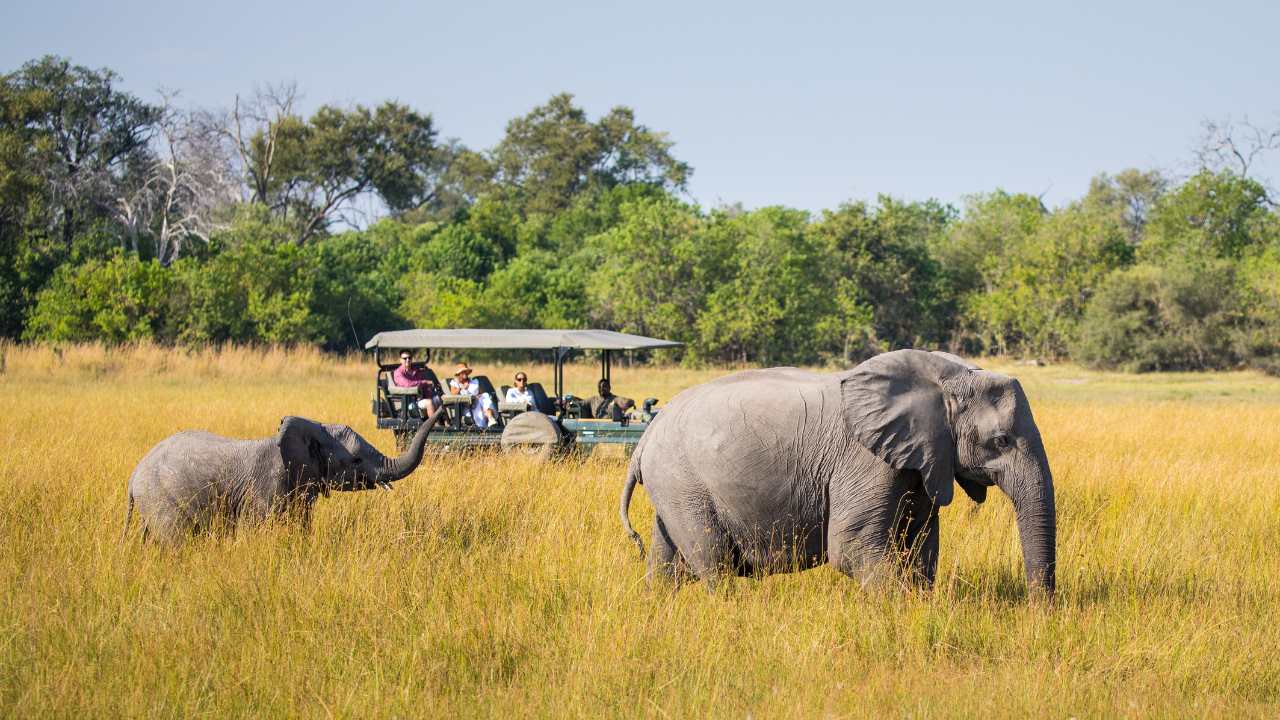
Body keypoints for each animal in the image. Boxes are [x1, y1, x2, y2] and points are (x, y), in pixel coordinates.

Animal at [619, 350, 1056, 596]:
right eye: (1000, 441)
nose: (1041, 611)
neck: (947, 377)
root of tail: (645, 440)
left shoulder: (921, 457)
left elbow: (920, 544)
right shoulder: (865, 459)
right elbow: (852, 545)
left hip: (674, 487)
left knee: (666, 561)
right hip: (683, 483)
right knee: (713, 561)